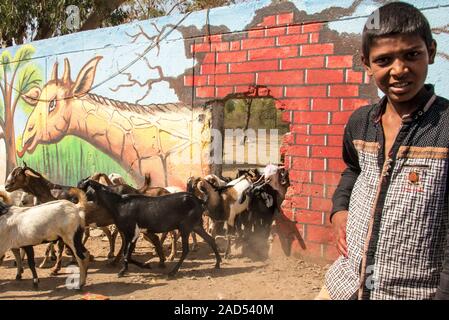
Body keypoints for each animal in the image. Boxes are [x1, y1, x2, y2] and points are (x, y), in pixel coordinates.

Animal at [79, 179, 222, 278]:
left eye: (83, 188)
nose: (77, 201)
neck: (120, 204)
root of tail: (199, 201)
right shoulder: (132, 233)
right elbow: (127, 253)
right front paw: (131, 268)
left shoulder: (132, 232)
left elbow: (126, 254)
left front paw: (136, 268)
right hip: (196, 226)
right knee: (210, 239)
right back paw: (217, 263)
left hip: (185, 227)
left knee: (186, 249)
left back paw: (173, 271)